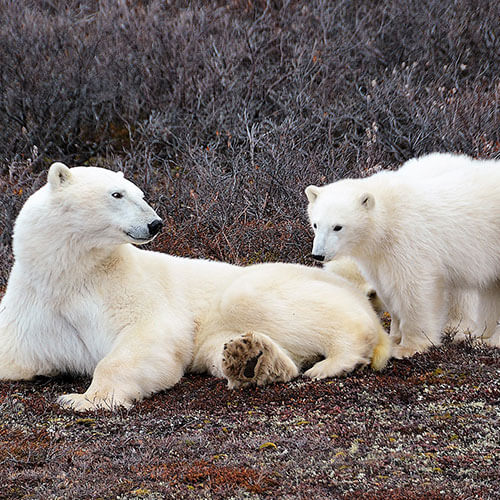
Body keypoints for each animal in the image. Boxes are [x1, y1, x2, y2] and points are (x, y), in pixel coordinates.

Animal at [304, 153, 500, 360]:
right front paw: (394, 337)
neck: (387, 220)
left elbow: (414, 291)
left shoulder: (408, 241)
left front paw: (408, 347)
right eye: (316, 224)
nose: (318, 254)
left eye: (338, 226)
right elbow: (388, 291)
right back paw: (482, 335)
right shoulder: (377, 259)